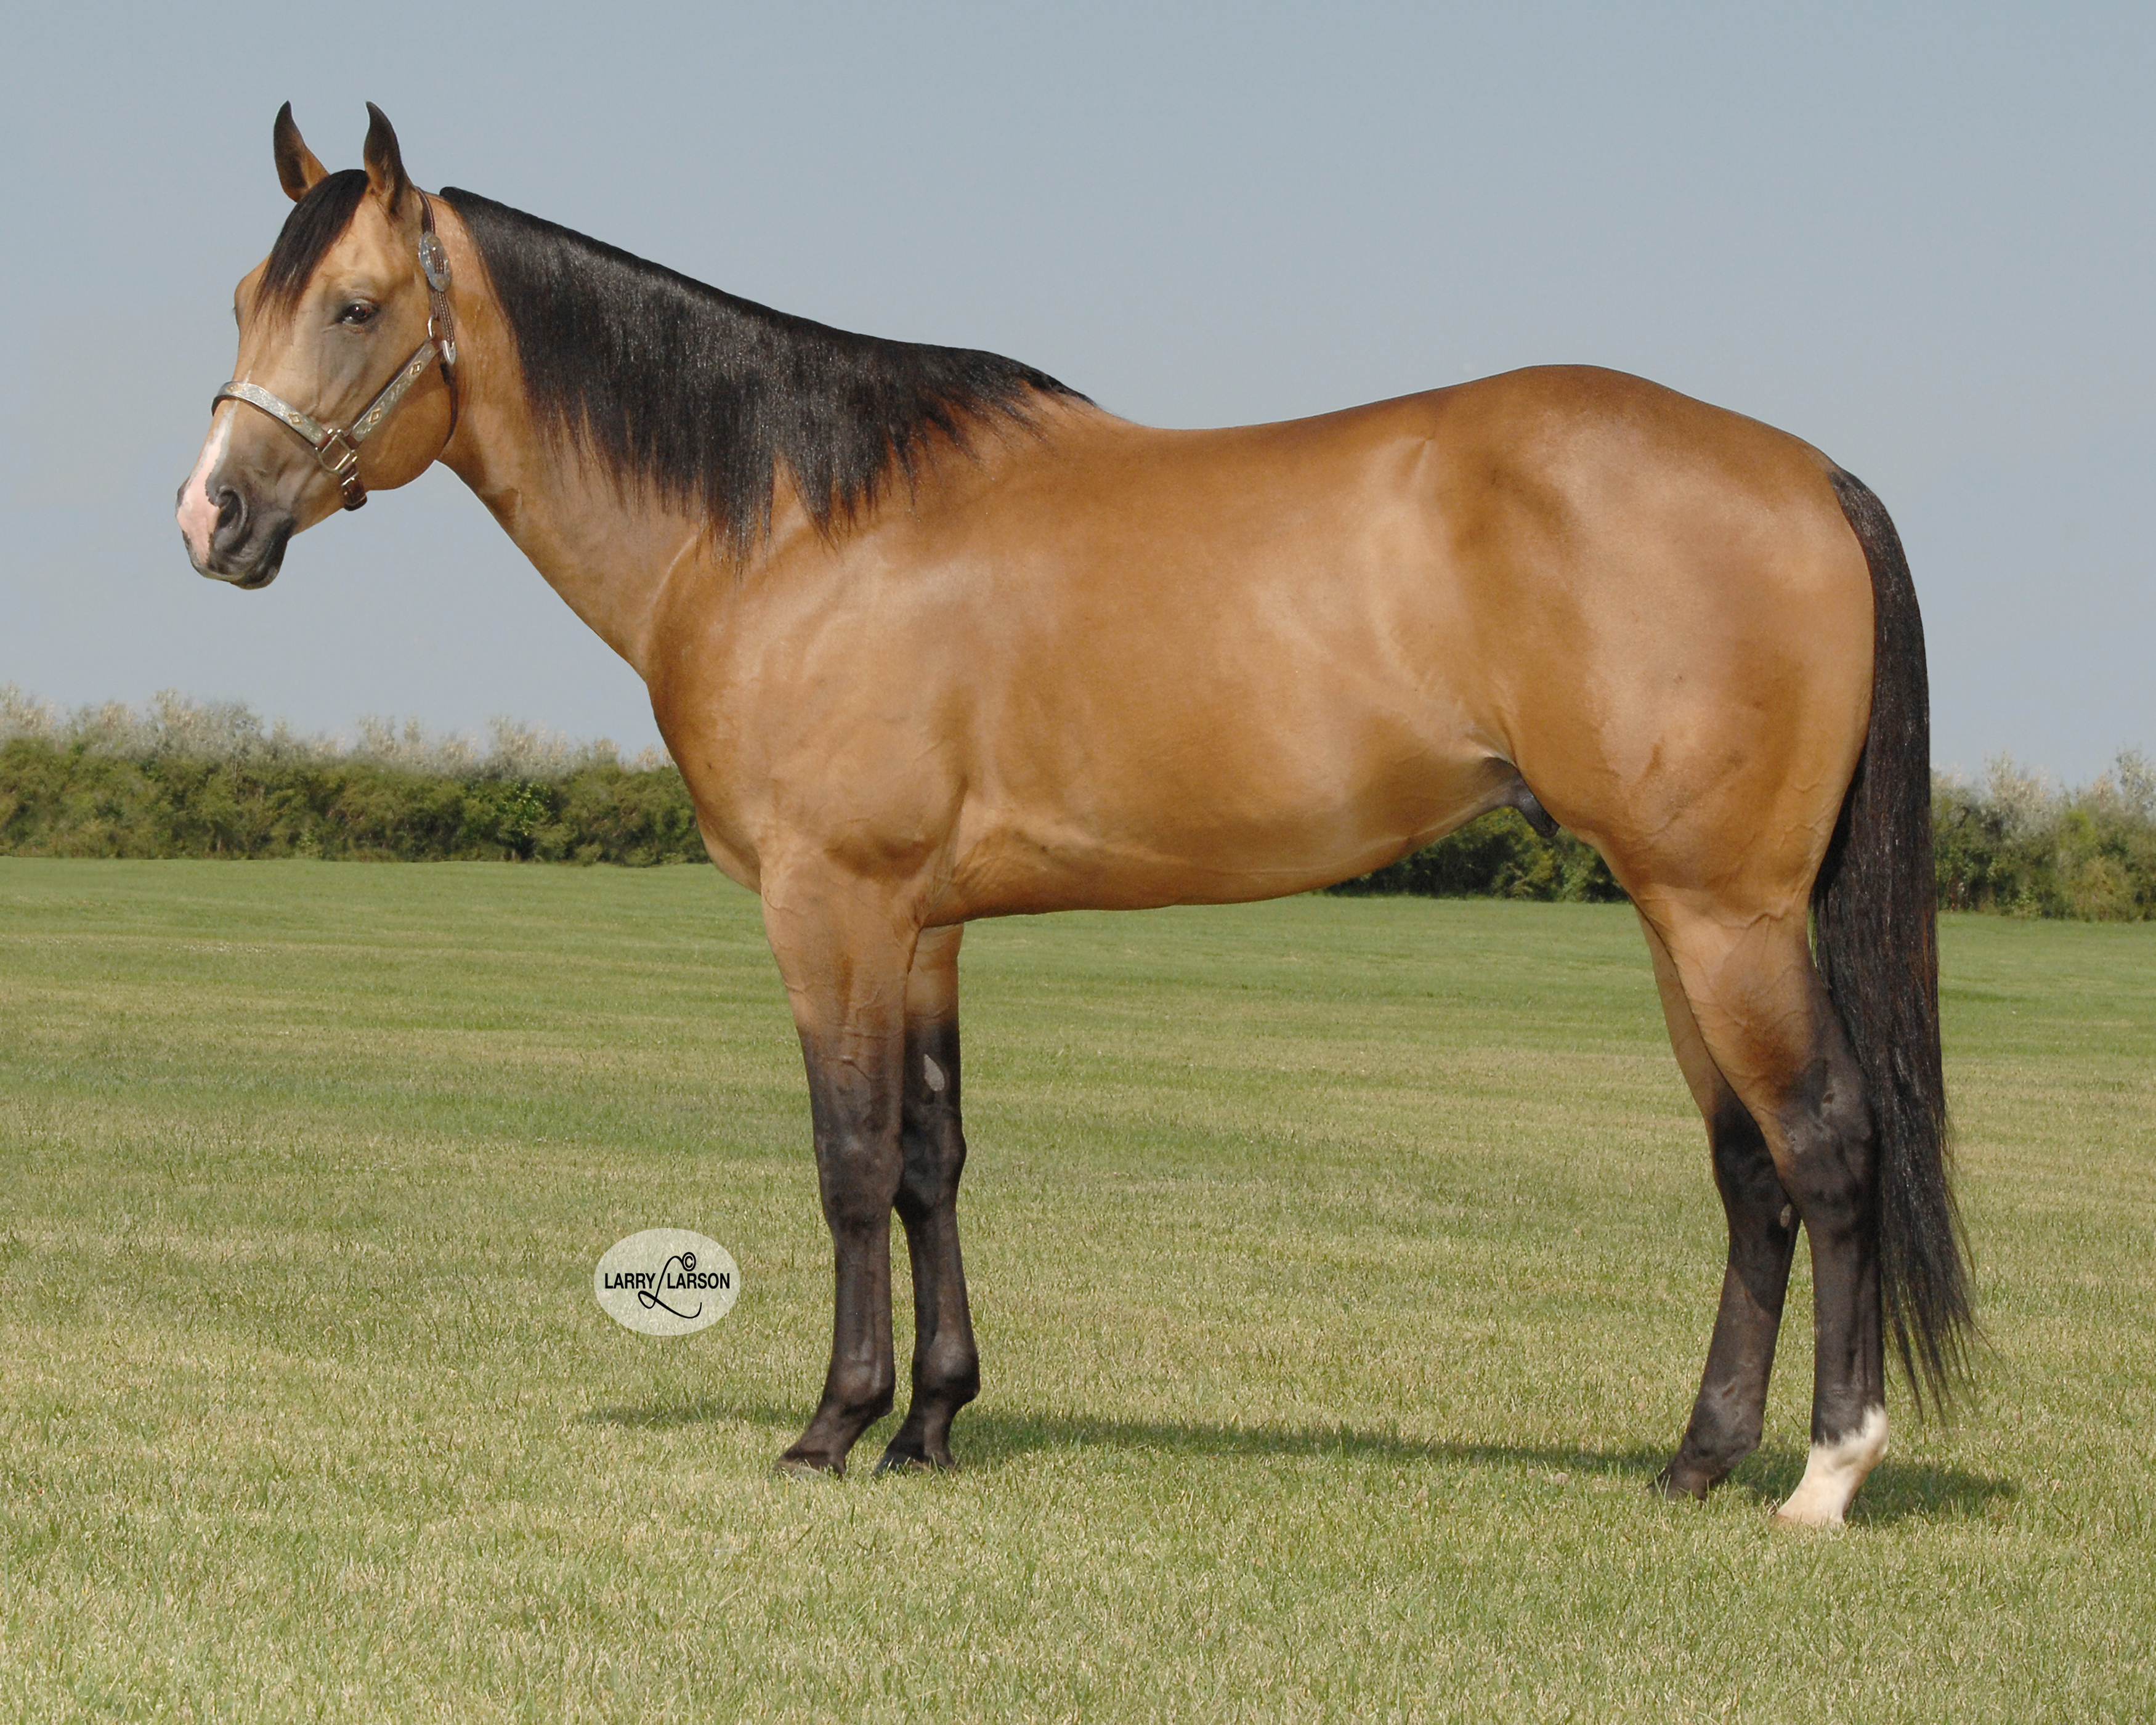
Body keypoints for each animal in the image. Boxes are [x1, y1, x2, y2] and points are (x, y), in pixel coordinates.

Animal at [178, 104, 1971, 1526]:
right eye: (247, 299)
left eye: (352, 305)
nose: (211, 518)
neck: (795, 522)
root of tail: (1807, 474)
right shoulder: (924, 925)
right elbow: (932, 1162)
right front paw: (932, 1424)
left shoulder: (831, 902)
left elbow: (847, 1159)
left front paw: (829, 1429)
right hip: (1678, 915)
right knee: (1747, 1172)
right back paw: (1694, 1461)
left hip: (1725, 914)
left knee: (1825, 1147)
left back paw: (1824, 1474)